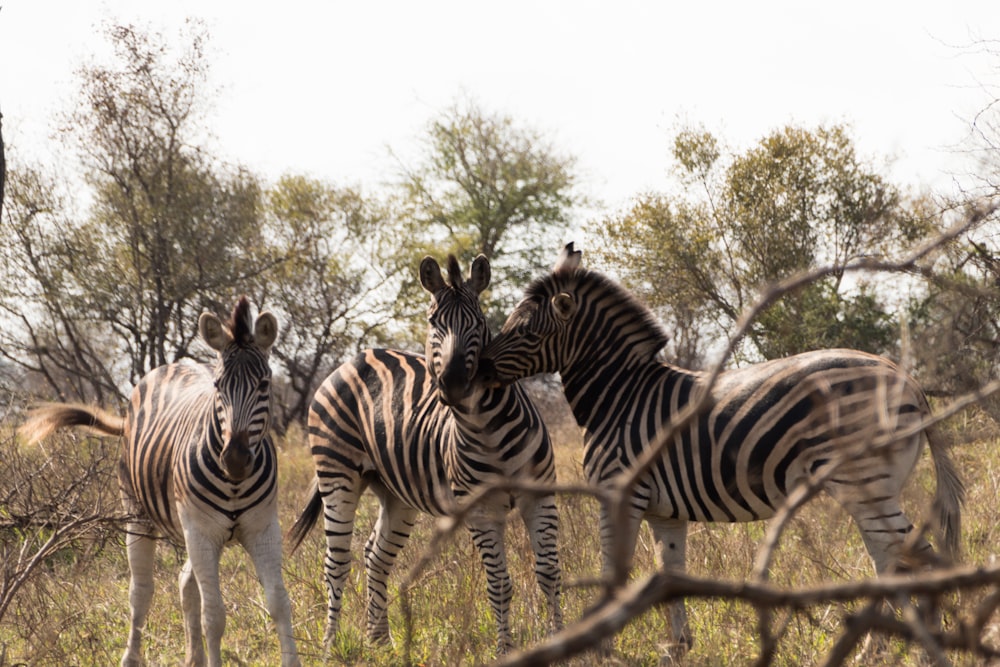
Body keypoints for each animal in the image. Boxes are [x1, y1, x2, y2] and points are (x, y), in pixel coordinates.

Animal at [18, 298, 300, 667]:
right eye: (218, 387)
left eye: (265, 385)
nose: (236, 459)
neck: (235, 485)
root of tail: (168, 367)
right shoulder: (201, 531)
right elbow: (215, 615)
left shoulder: (263, 528)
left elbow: (279, 603)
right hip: (139, 513)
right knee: (141, 591)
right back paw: (131, 657)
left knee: (185, 584)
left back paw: (193, 658)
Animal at [290, 253, 564, 656]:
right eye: (434, 322)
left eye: (479, 321)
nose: (453, 382)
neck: (486, 428)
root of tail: (355, 359)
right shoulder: (481, 510)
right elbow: (499, 584)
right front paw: (505, 651)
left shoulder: (540, 497)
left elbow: (549, 574)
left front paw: (563, 637)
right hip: (336, 473)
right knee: (336, 563)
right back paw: (329, 647)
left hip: (396, 492)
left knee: (375, 555)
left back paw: (380, 642)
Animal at [480, 243, 964, 660]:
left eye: (524, 332)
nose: (475, 369)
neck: (620, 398)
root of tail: (907, 379)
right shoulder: (664, 511)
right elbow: (669, 572)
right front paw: (678, 648)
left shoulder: (621, 492)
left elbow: (612, 571)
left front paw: (600, 648)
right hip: (874, 486)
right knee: (890, 556)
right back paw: (881, 649)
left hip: (862, 481)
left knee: (901, 555)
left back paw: (908, 650)